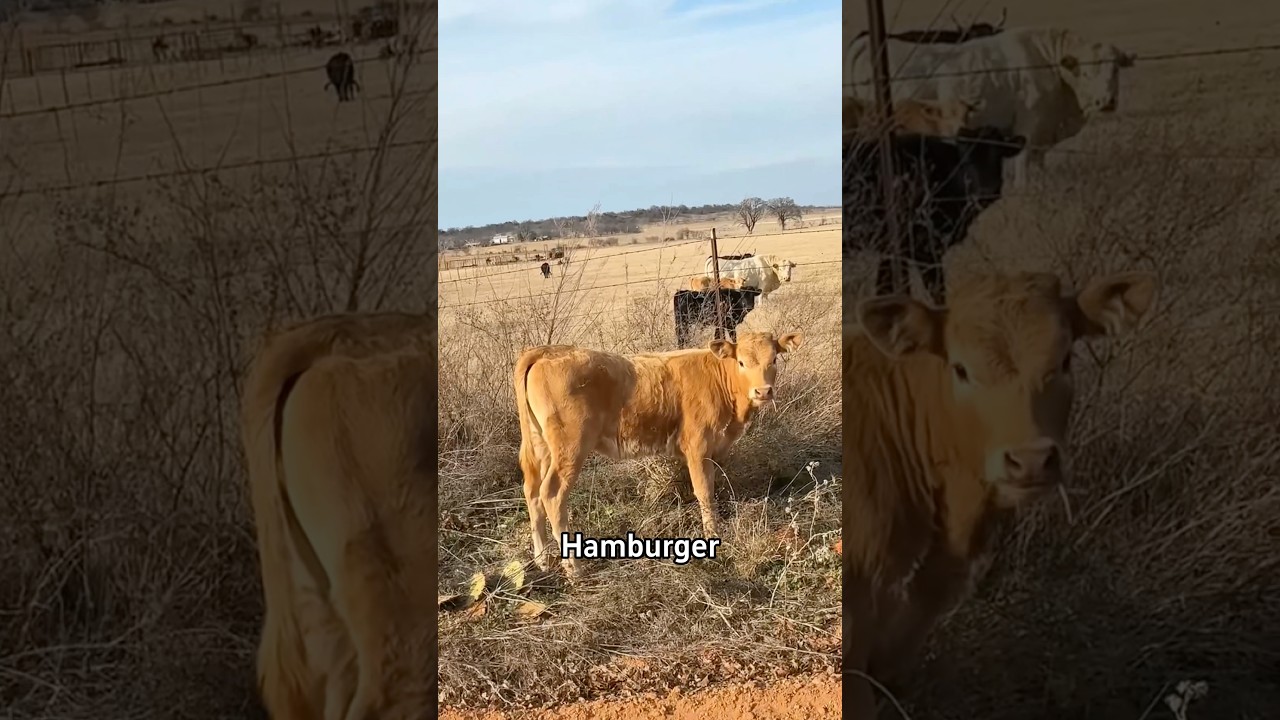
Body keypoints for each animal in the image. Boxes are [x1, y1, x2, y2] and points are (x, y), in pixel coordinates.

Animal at [515, 330, 803, 576]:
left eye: (774, 359)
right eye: (742, 362)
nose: (763, 391)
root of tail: (547, 351)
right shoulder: (698, 446)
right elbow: (704, 491)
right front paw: (712, 536)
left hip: (541, 446)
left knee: (533, 491)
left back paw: (542, 559)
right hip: (570, 447)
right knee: (551, 494)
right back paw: (573, 567)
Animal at [846, 27, 1136, 187]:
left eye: (1115, 70)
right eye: (1086, 72)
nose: (1106, 101)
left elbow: (1038, 164)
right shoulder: (1029, 127)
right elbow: (1023, 167)